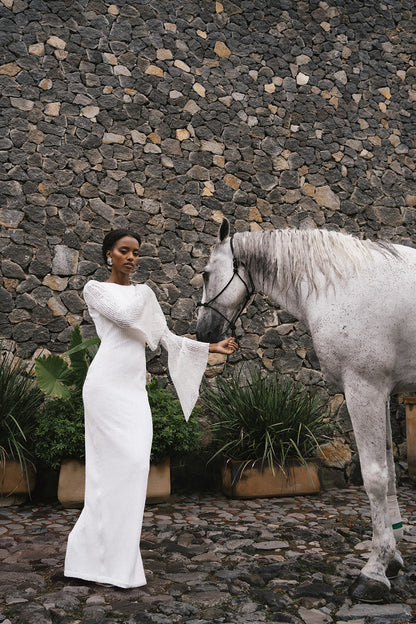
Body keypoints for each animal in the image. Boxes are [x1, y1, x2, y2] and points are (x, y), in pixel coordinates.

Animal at [195, 218, 416, 600]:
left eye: (207, 274)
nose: (202, 331)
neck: (344, 284)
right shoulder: (383, 392)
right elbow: (389, 473)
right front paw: (393, 558)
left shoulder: (365, 388)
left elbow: (374, 477)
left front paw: (374, 571)